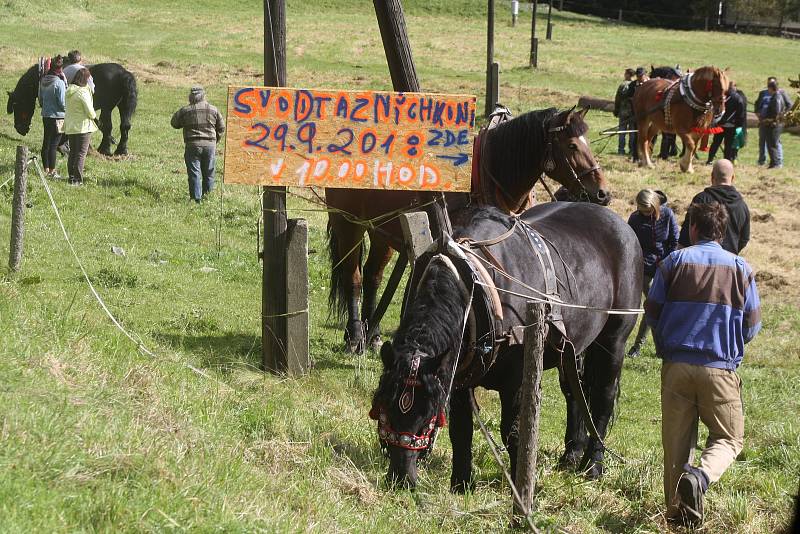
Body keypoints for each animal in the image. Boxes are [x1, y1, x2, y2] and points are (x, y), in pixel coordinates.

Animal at [6, 62, 138, 156]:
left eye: (16, 105)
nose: (19, 129)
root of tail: (124, 74)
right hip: (124, 107)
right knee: (125, 126)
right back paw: (121, 150)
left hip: (107, 108)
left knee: (107, 126)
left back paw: (104, 149)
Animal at [324, 106, 608, 354]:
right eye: (572, 145)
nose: (602, 193)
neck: (490, 168)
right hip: (347, 223)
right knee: (353, 278)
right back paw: (355, 335)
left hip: (379, 230)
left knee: (373, 276)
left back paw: (371, 335)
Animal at [372, 204, 640, 494]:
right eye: (383, 411)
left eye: (427, 417)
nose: (401, 478)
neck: (478, 286)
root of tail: (621, 225)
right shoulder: (458, 374)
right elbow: (461, 429)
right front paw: (462, 484)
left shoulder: (517, 379)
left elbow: (513, 432)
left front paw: (521, 490)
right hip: (574, 346)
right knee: (575, 392)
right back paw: (572, 453)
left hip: (613, 341)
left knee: (603, 396)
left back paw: (593, 464)